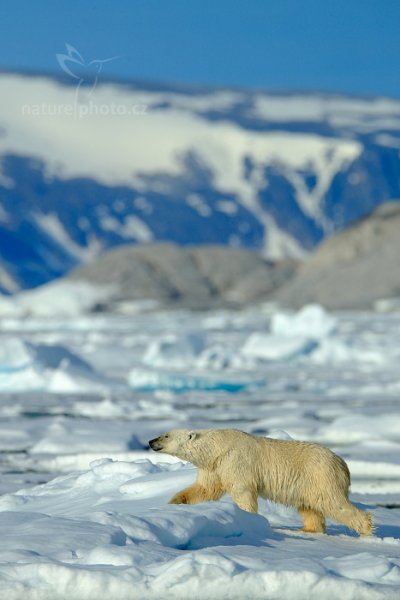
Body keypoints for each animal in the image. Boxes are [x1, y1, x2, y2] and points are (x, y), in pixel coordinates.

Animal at [148, 428, 374, 536]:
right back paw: (308, 529)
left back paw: (366, 529)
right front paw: (175, 503)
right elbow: (205, 489)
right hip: (307, 484)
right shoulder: (214, 466)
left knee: (334, 503)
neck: (217, 447)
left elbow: (242, 491)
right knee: (309, 507)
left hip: (320, 476)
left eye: (165, 435)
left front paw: (248, 519)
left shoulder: (235, 461)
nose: (150, 441)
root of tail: (343, 464)